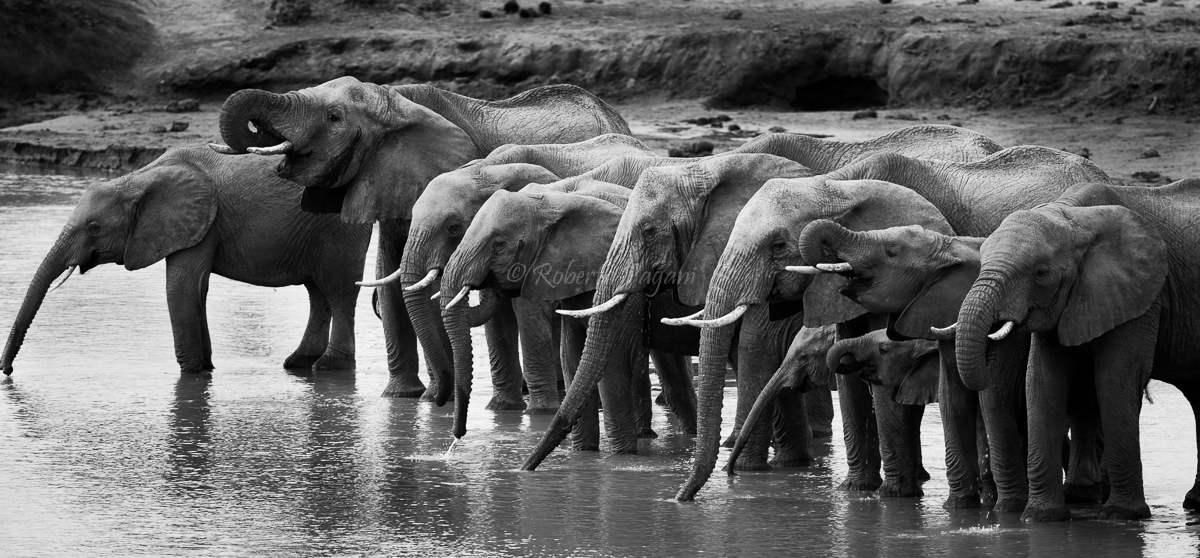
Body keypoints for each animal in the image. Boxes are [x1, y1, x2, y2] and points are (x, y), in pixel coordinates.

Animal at [1, 146, 371, 376]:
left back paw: (329, 366)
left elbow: (182, 288)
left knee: (339, 290)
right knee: (318, 293)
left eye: (94, 228)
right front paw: (206, 370)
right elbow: (196, 290)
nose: (7, 371)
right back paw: (298, 363)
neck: (138, 178)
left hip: (340, 229)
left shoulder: (199, 222)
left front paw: (193, 374)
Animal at [362, 133, 654, 412]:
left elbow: (529, 316)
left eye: (454, 227)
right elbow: (499, 322)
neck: (485, 171)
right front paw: (502, 409)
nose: (440, 401)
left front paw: (539, 412)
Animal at [436, 185, 698, 448]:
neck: (556, 202)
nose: (458, 436)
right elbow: (571, 354)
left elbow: (613, 357)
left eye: (498, 243)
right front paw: (584, 452)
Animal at [671, 144, 1110, 501]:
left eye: (778, 245)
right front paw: (856, 490)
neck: (834, 186)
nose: (682, 498)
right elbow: (849, 375)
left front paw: (892, 496)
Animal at [952, 179, 1200, 521]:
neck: (1073, 217)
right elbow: (1042, 382)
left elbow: (1115, 379)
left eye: (1041, 273)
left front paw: (1122, 515)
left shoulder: (1144, 294)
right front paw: (1040, 518)